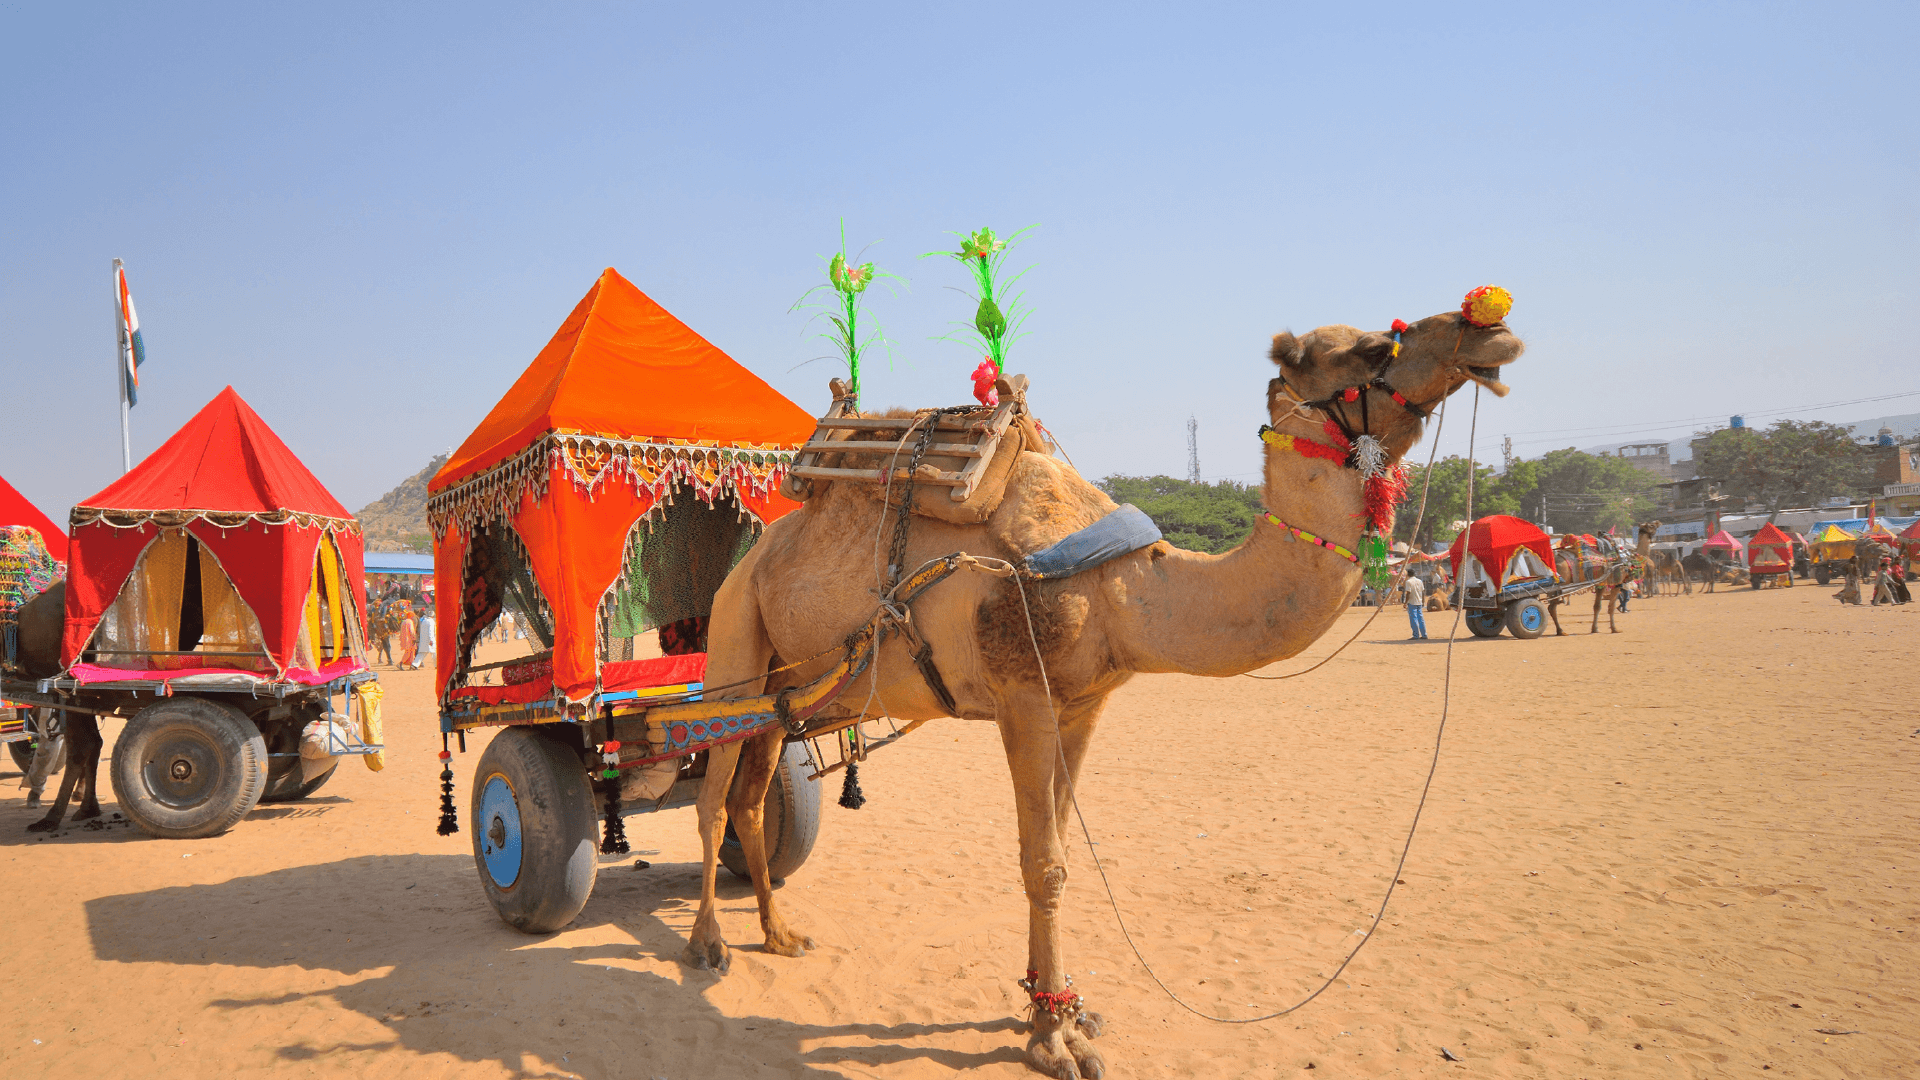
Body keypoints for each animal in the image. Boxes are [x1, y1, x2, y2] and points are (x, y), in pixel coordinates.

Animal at [684, 300, 1524, 1078]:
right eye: (1375, 348)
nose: (1489, 328)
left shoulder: (1083, 706)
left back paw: (779, 933)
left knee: (751, 794)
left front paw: (1057, 1010)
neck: (1123, 587)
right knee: (712, 791)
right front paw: (1053, 1040)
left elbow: (1058, 852)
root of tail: (755, 554)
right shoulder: (1021, 692)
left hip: (787, 692)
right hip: (733, 639)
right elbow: (1044, 862)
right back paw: (708, 944)